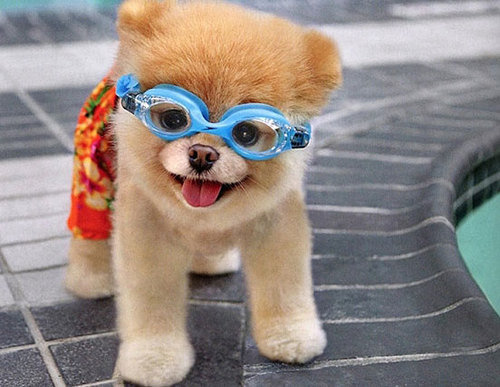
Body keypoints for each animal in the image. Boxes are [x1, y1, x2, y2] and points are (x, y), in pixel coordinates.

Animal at [65, 1, 340, 386]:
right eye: (173, 120)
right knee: (88, 234)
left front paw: (291, 337)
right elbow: (152, 302)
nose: (202, 153)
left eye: (246, 134)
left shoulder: (277, 226)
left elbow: (284, 287)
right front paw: (155, 360)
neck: (204, 217)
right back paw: (91, 280)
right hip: (92, 180)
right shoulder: (146, 236)